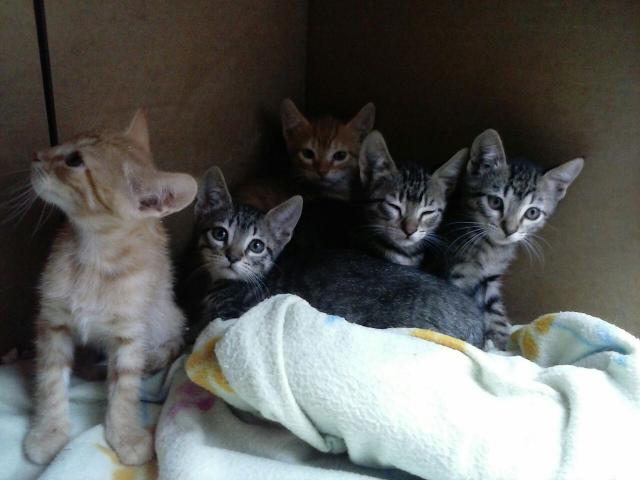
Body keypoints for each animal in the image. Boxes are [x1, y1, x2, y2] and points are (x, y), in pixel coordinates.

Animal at [24, 110, 197, 466]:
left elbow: (125, 388)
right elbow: (49, 379)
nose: (36, 154)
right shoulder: (53, 322)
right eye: (64, 142)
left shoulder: (130, 334)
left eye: (74, 160)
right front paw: (48, 431)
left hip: (164, 318)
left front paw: (126, 435)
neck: (95, 255)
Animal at [440, 129, 584, 349]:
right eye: (494, 202)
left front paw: (502, 345)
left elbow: (496, 313)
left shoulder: (489, 279)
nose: (509, 230)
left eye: (532, 213)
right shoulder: (453, 273)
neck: (490, 249)